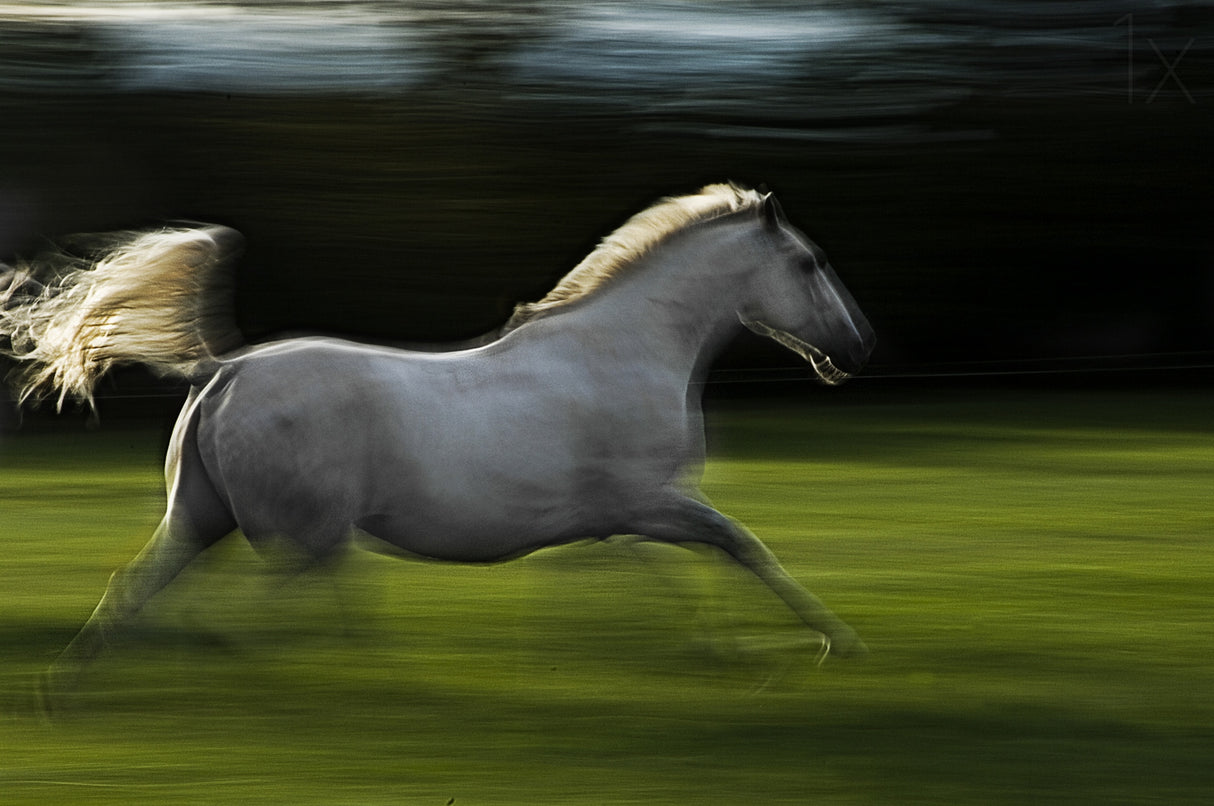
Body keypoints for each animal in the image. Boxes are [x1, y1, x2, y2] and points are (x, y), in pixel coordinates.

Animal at [0, 183, 875, 701]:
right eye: (810, 262)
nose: (859, 348)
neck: (623, 350)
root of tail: (225, 370)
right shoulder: (653, 502)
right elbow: (741, 546)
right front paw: (825, 645)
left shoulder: (617, 519)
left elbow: (673, 571)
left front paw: (727, 651)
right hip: (301, 530)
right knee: (253, 606)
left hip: (204, 518)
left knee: (145, 590)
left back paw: (66, 691)